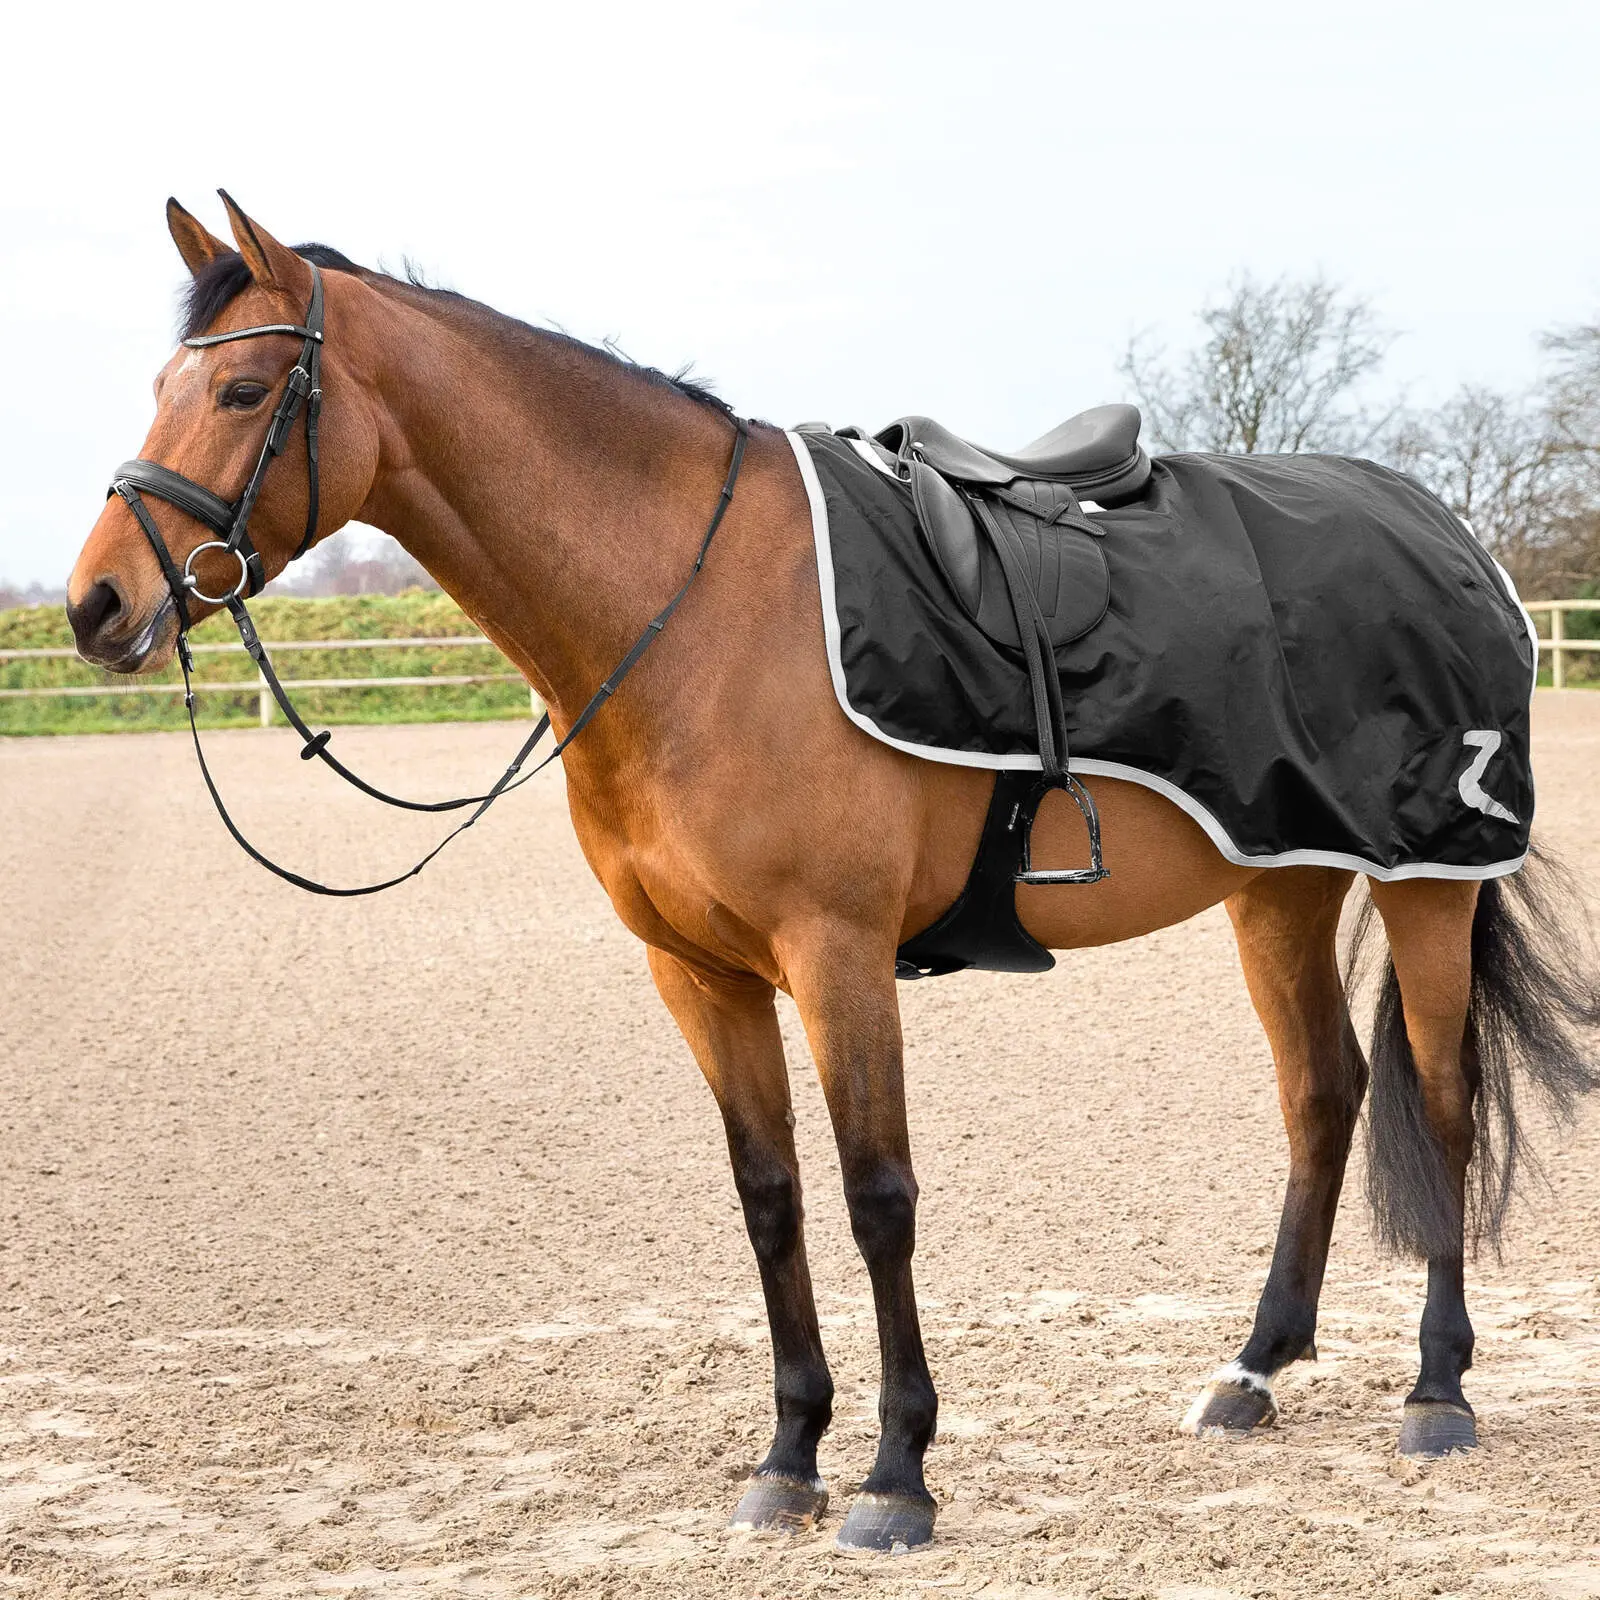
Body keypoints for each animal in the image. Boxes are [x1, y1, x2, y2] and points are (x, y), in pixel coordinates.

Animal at [66, 194, 1600, 1554]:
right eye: (160, 384)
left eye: (246, 386)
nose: (97, 605)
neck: (689, 611)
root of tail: (1441, 528)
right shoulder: (700, 974)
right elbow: (771, 1202)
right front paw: (787, 1459)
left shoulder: (837, 953)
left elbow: (877, 1198)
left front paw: (895, 1476)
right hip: (1276, 882)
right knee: (1322, 1095)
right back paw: (1254, 1372)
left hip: (1422, 879)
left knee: (1443, 1098)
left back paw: (1437, 1389)